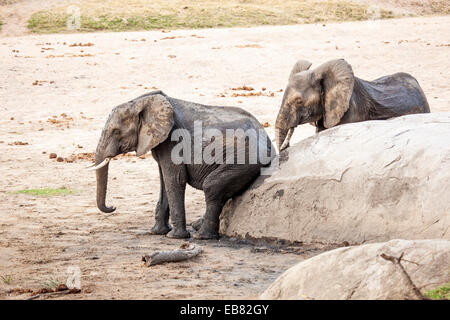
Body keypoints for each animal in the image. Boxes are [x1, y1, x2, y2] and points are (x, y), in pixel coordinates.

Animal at [91, 90, 274, 240]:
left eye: (116, 131)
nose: (113, 206)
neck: (142, 101)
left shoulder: (172, 140)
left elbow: (175, 180)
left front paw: (174, 237)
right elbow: (164, 182)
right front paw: (156, 232)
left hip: (243, 159)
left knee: (212, 187)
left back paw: (202, 236)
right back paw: (198, 227)